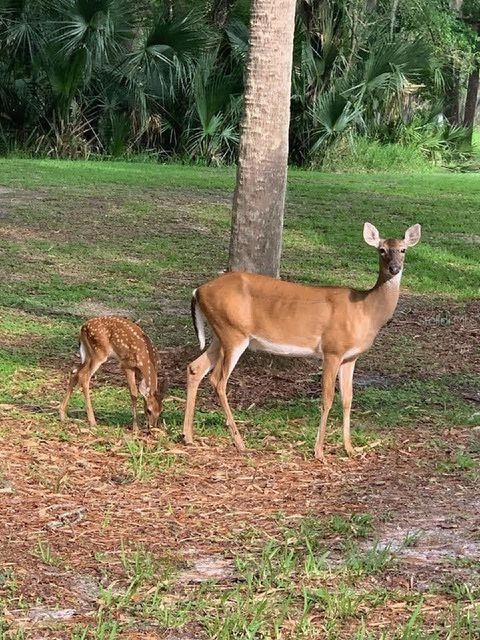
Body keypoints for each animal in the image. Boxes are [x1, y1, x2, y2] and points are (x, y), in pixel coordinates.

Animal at [183, 224, 420, 460]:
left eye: (403, 250)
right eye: (381, 250)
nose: (394, 268)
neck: (365, 310)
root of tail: (198, 291)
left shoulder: (350, 357)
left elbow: (348, 399)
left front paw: (350, 449)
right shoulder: (332, 350)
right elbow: (327, 398)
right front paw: (319, 452)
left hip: (220, 334)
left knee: (195, 367)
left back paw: (188, 435)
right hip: (233, 333)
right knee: (218, 380)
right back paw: (240, 442)